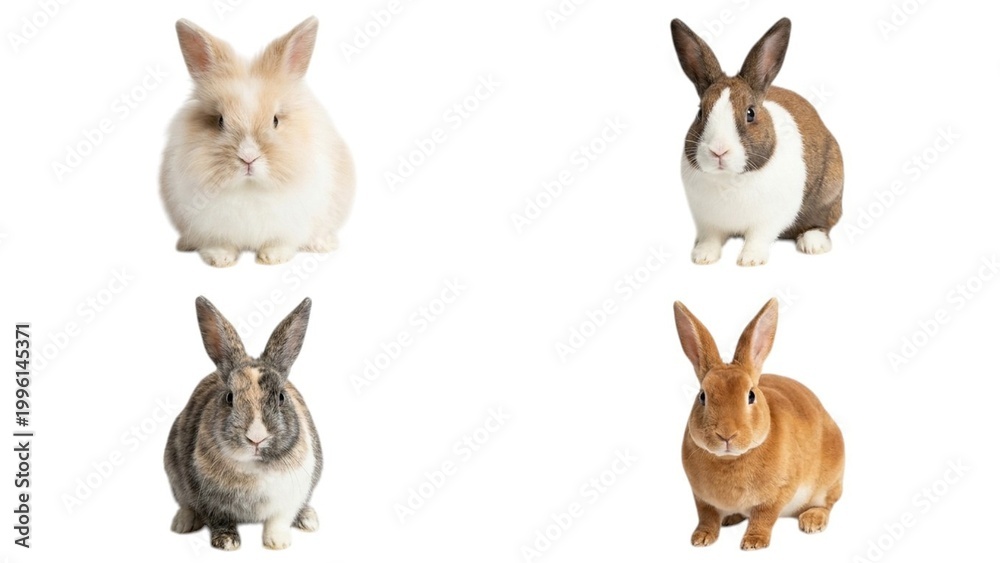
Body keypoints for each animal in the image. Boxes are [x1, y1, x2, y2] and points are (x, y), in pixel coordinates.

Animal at [160, 17, 355, 267]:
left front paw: (272, 258)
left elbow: (280, 242)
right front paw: (220, 259)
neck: (249, 186)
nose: (248, 158)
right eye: (220, 120)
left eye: (275, 120)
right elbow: (219, 243)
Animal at [164, 296, 322, 550]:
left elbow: (279, 520)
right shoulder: (208, 499)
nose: (256, 438)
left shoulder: (291, 496)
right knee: (186, 504)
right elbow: (219, 519)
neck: (254, 466)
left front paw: (277, 542)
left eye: (281, 397)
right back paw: (183, 522)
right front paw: (227, 543)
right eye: (229, 397)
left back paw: (308, 519)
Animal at [670, 18, 843, 266]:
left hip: (829, 194)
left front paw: (750, 260)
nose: (719, 151)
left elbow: (757, 238)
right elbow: (711, 238)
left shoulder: (769, 219)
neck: (728, 178)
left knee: (822, 223)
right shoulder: (707, 221)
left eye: (750, 113)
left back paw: (813, 244)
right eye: (700, 113)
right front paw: (702, 256)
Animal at [673, 298, 844, 550]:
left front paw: (754, 542)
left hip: (827, 482)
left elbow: (764, 517)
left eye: (751, 395)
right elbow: (707, 517)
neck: (730, 459)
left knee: (827, 504)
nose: (726, 435)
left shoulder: (777, 494)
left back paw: (812, 521)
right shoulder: (702, 498)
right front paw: (701, 538)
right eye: (702, 396)